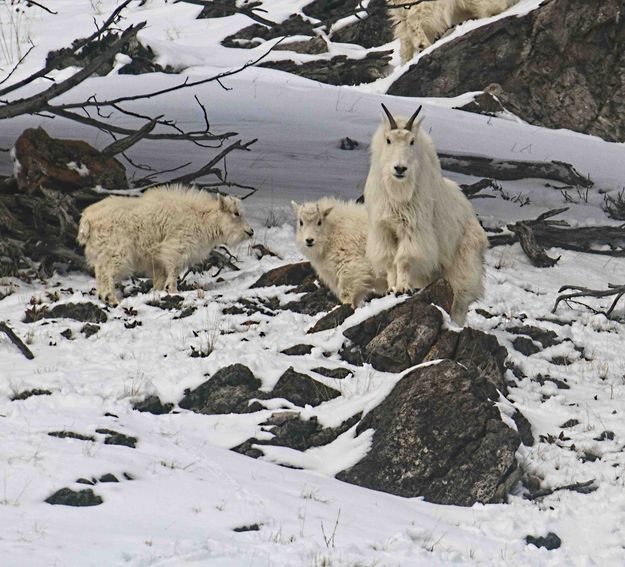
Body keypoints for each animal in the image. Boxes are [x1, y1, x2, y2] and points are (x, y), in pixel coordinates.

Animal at [78, 184, 254, 304]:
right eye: (236, 213)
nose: (250, 232)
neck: (201, 218)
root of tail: (88, 220)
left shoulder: (158, 261)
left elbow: (160, 278)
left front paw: (158, 291)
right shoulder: (176, 248)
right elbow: (173, 271)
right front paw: (173, 290)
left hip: (101, 253)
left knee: (100, 272)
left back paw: (103, 296)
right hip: (117, 252)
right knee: (107, 273)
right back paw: (112, 299)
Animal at [364, 102, 490, 324]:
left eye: (412, 141)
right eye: (388, 140)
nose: (400, 168)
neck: (397, 192)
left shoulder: (413, 229)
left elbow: (403, 259)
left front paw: (402, 288)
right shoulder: (383, 229)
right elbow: (390, 261)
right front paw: (391, 289)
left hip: (464, 263)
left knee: (460, 300)